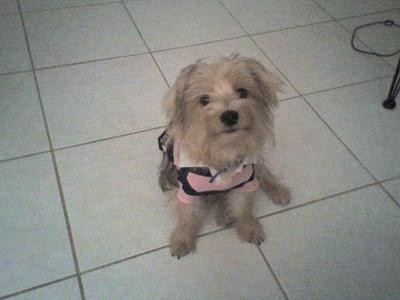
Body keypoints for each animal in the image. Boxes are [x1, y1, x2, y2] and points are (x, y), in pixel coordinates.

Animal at [157, 55, 290, 258]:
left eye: (242, 92)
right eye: (204, 100)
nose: (229, 116)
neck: (222, 150)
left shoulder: (246, 181)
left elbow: (243, 208)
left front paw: (249, 227)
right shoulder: (187, 190)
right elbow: (187, 216)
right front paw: (182, 238)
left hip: (255, 165)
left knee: (263, 173)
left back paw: (276, 191)